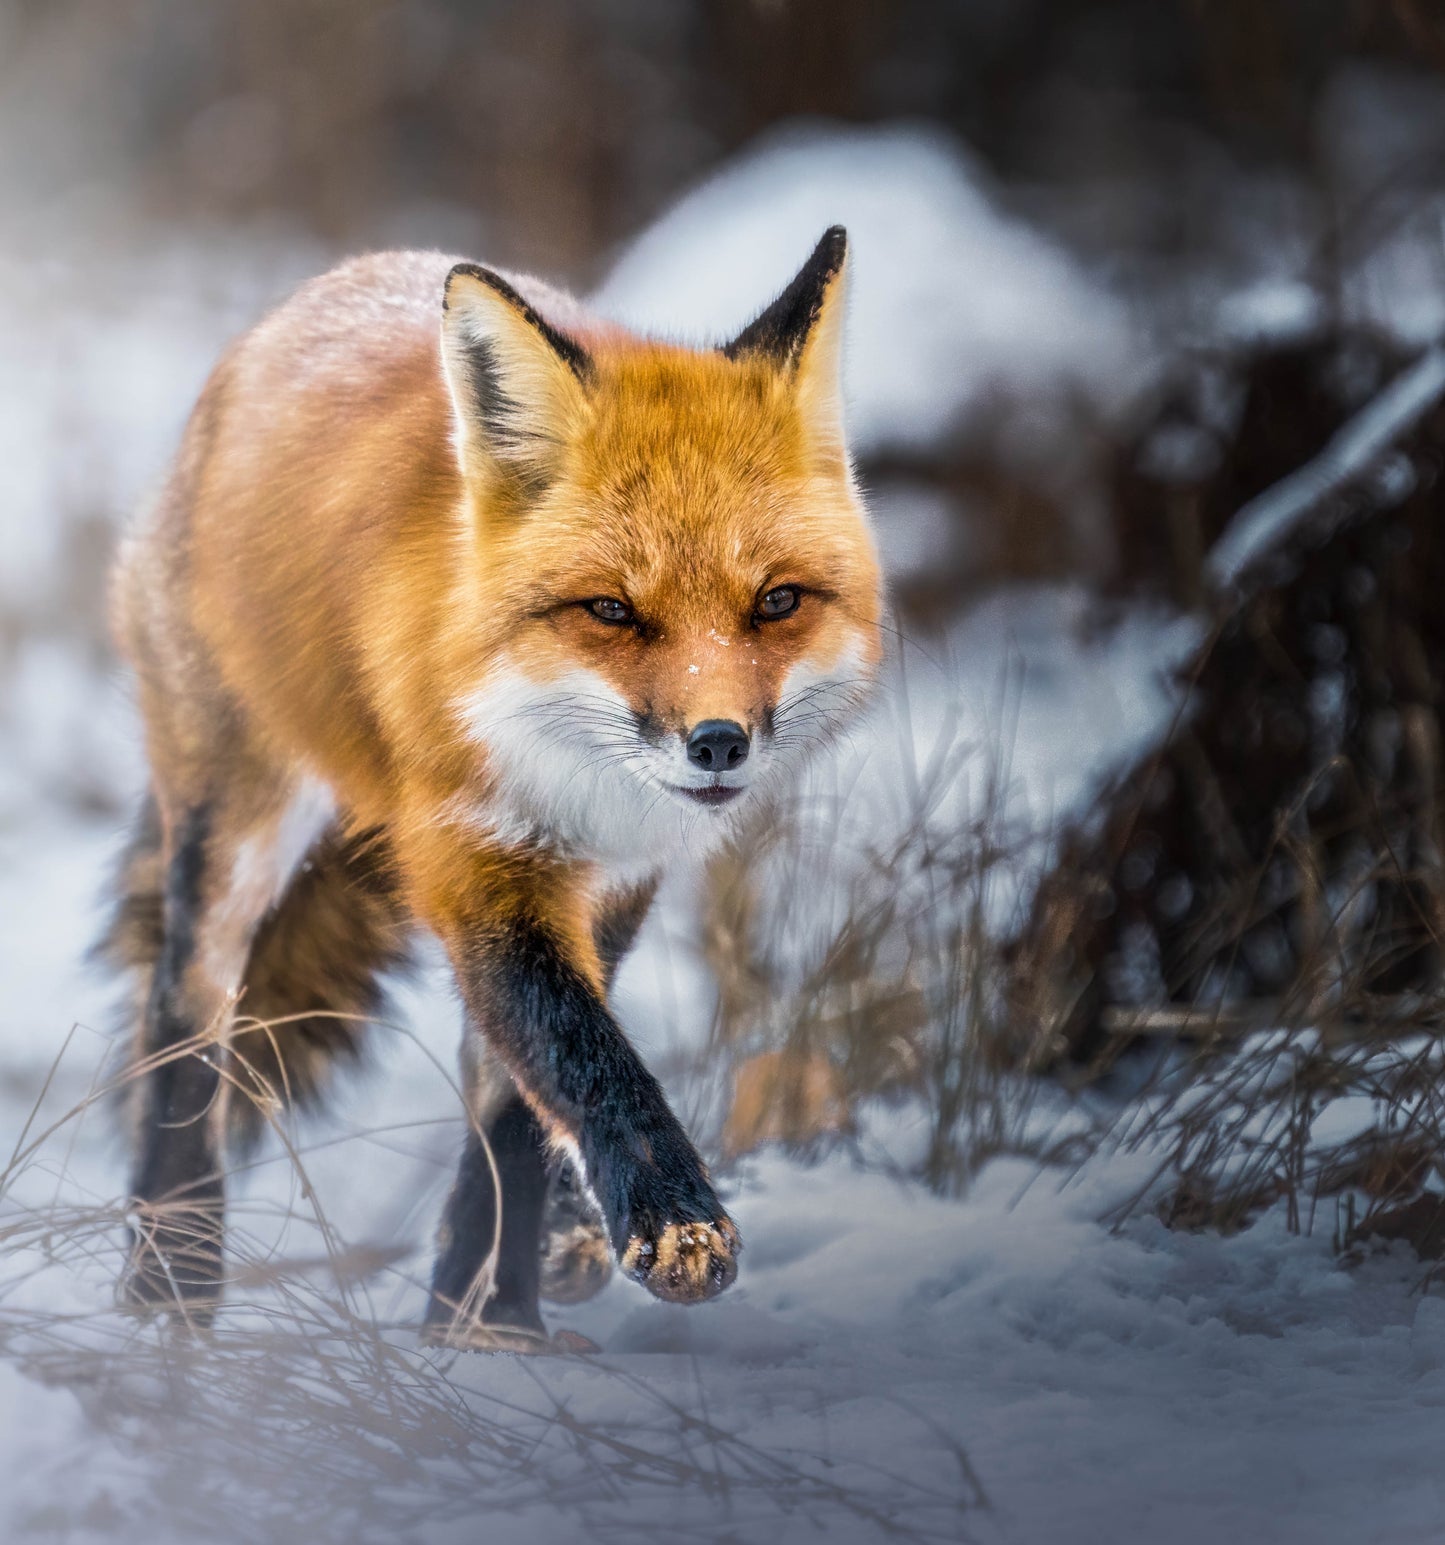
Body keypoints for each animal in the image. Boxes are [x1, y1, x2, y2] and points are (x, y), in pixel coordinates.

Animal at [97, 226, 883, 1351]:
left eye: (775, 602)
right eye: (611, 610)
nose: (717, 743)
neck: (563, 764)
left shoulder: (614, 878)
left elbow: (522, 1101)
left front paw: (486, 1322)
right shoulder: (475, 860)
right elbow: (580, 1052)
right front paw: (668, 1223)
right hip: (235, 822)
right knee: (185, 1015)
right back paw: (172, 1284)